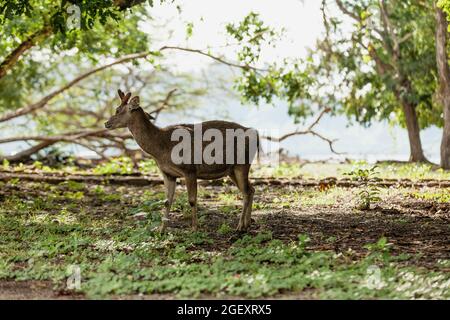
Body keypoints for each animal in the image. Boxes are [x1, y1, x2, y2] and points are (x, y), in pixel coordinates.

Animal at [104, 90, 258, 232]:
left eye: (118, 110)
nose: (106, 123)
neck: (160, 150)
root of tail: (255, 134)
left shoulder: (189, 169)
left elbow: (192, 200)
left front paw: (194, 228)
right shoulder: (167, 174)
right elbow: (167, 201)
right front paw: (161, 230)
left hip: (242, 164)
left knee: (246, 192)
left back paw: (240, 226)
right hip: (231, 170)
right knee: (251, 189)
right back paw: (247, 223)